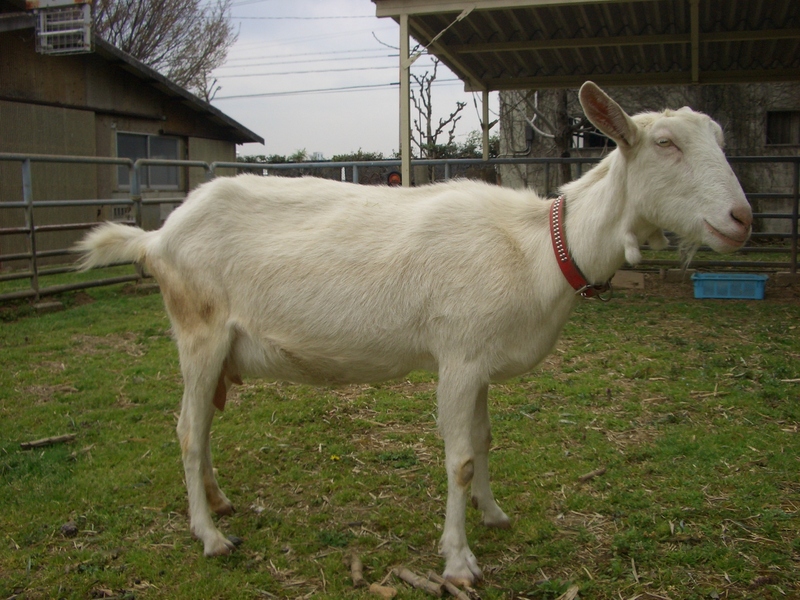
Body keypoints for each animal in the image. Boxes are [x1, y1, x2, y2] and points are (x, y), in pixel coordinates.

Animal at [75, 82, 752, 584]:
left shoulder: (480, 362)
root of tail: (157, 237)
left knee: (205, 426)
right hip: (199, 328)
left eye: (719, 139)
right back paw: (211, 536)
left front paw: (493, 513)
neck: (538, 248)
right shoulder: (459, 355)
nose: (742, 218)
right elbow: (458, 458)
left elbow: (485, 440)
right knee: (189, 432)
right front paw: (458, 561)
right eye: (665, 143)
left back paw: (219, 504)